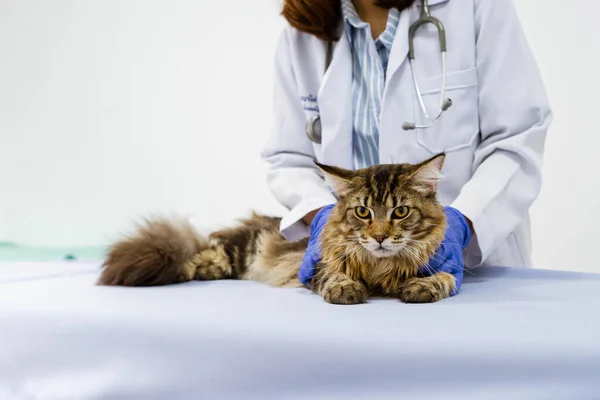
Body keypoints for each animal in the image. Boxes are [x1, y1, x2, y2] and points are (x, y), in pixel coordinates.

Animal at [98, 153, 454, 304]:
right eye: (363, 212)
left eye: (400, 211)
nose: (379, 237)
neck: (381, 267)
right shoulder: (318, 265)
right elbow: (334, 276)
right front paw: (346, 290)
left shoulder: (443, 264)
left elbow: (444, 279)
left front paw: (421, 287)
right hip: (240, 249)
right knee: (199, 254)